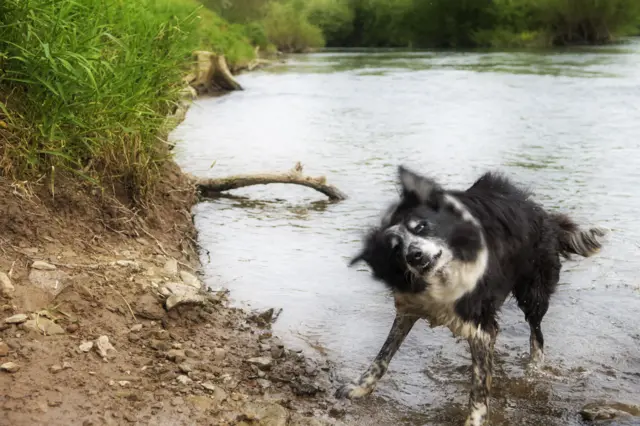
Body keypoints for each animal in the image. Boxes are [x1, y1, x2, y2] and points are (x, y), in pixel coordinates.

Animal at [338, 166, 608, 426]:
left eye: (421, 226)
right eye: (395, 247)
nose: (414, 255)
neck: (442, 275)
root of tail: (545, 216)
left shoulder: (478, 323)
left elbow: (478, 387)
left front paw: (475, 419)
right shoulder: (409, 308)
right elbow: (383, 355)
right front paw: (360, 387)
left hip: (533, 294)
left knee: (536, 336)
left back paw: (534, 368)